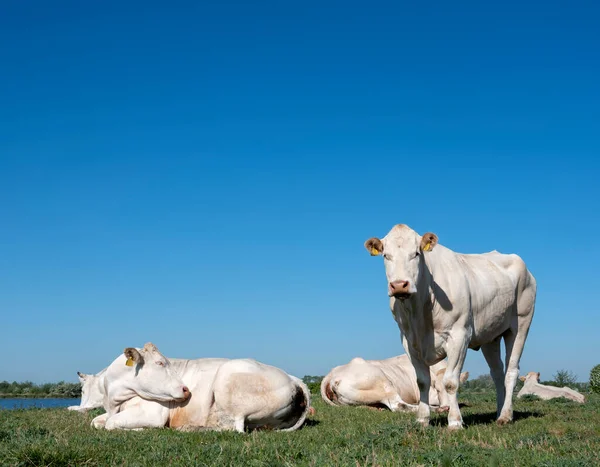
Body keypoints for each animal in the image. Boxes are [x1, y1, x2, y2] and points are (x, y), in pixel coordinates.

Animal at [82, 342, 312, 434]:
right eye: (160, 363)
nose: (185, 390)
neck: (114, 398)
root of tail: (293, 378)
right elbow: (96, 422)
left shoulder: (153, 413)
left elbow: (110, 423)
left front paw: (140, 429)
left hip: (228, 377)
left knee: (234, 428)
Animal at [366, 225, 540, 430]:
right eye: (386, 255)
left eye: (416, 253)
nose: (399, 285)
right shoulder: (409, 341)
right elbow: (422, 381)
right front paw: (422, 419)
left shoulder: (459, 335)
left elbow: (450, 382)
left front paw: (455, 422)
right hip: (490, 336)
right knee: (497, 373)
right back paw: (499, 412)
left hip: (521, 324)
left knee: (511, 371)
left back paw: (506, 415)